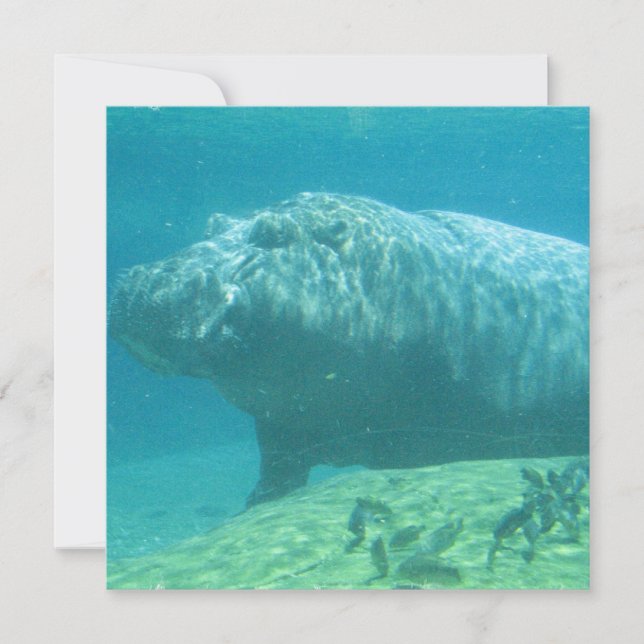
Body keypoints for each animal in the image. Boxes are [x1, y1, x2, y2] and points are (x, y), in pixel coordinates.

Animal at [109, 193, 589, 506]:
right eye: (214, 222)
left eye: (273, 233)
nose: (149, 282)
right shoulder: (281, 421)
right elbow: (276, 476)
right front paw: (255, 505)